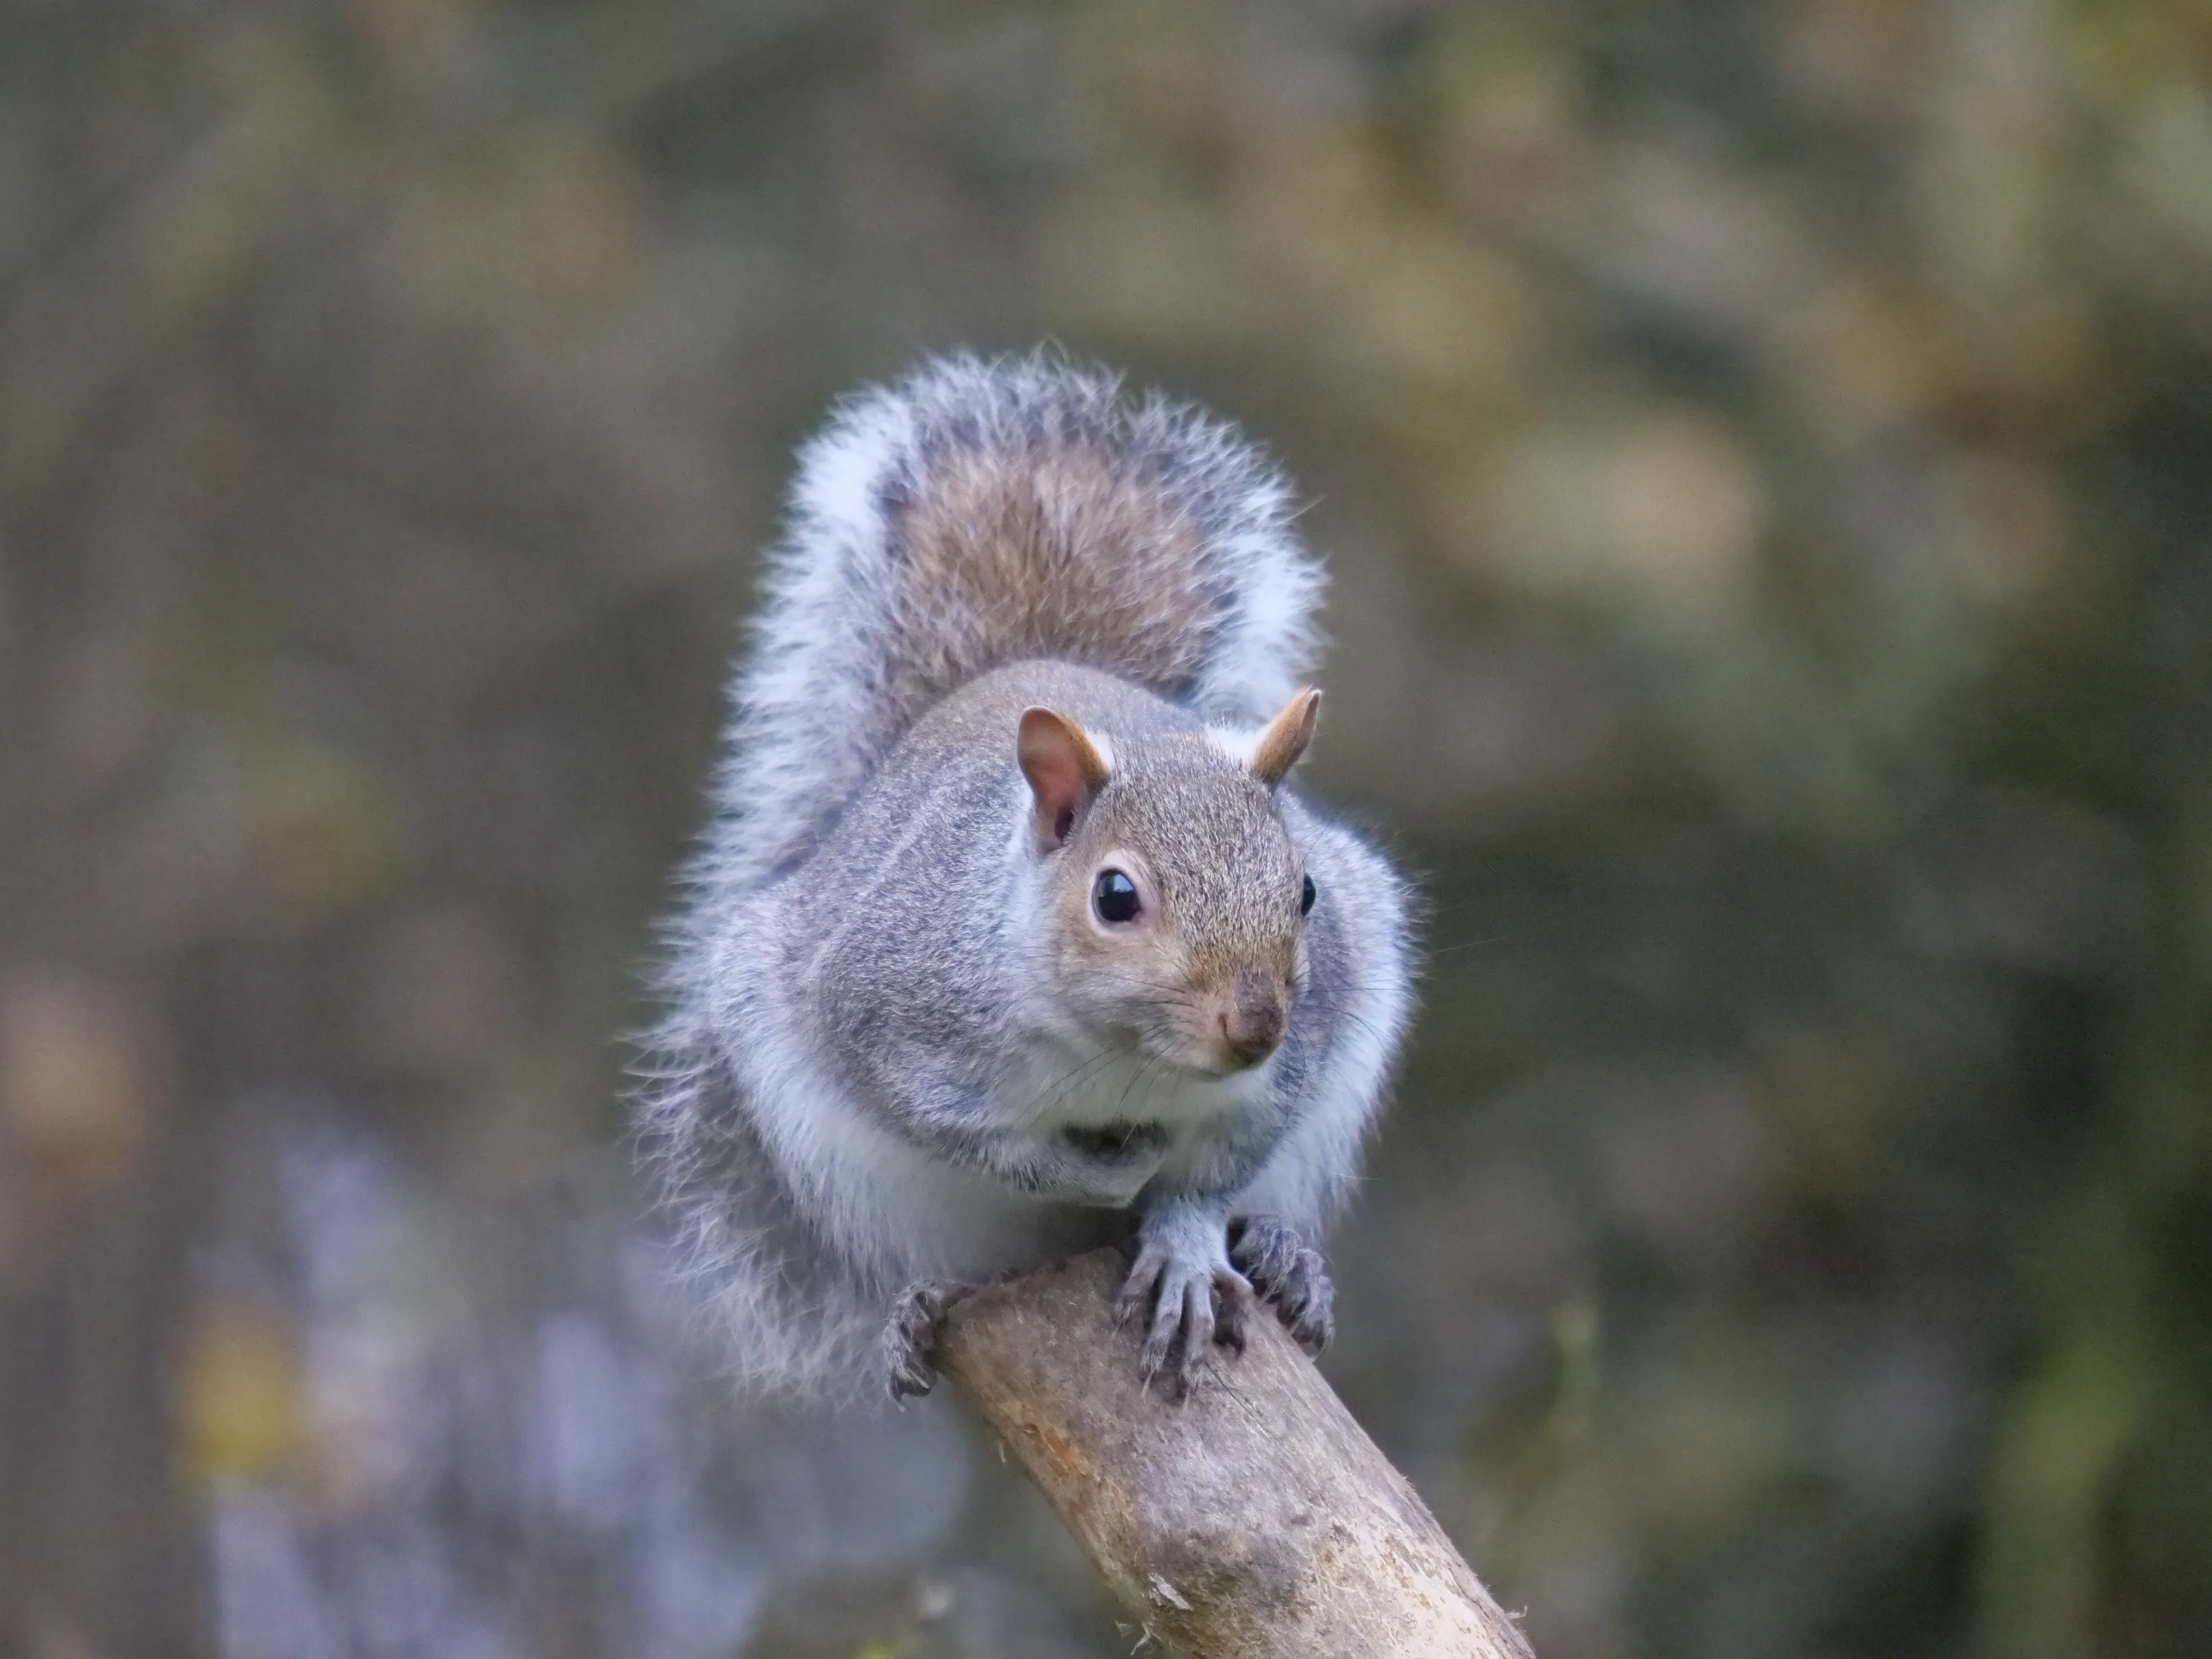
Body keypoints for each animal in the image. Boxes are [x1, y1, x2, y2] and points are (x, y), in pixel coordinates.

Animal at [640, 352, 1413, 1404]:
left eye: (1305, 892)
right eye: (1115, 897)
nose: (1255, 1027)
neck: (1128, 1060)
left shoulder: (1286, 1076)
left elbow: (1204, 1179)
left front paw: (1181, 1240)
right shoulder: (894, 1028)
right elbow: (987, 1144)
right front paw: (1107, 1175)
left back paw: (1289, 1260)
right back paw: (925, 1304)